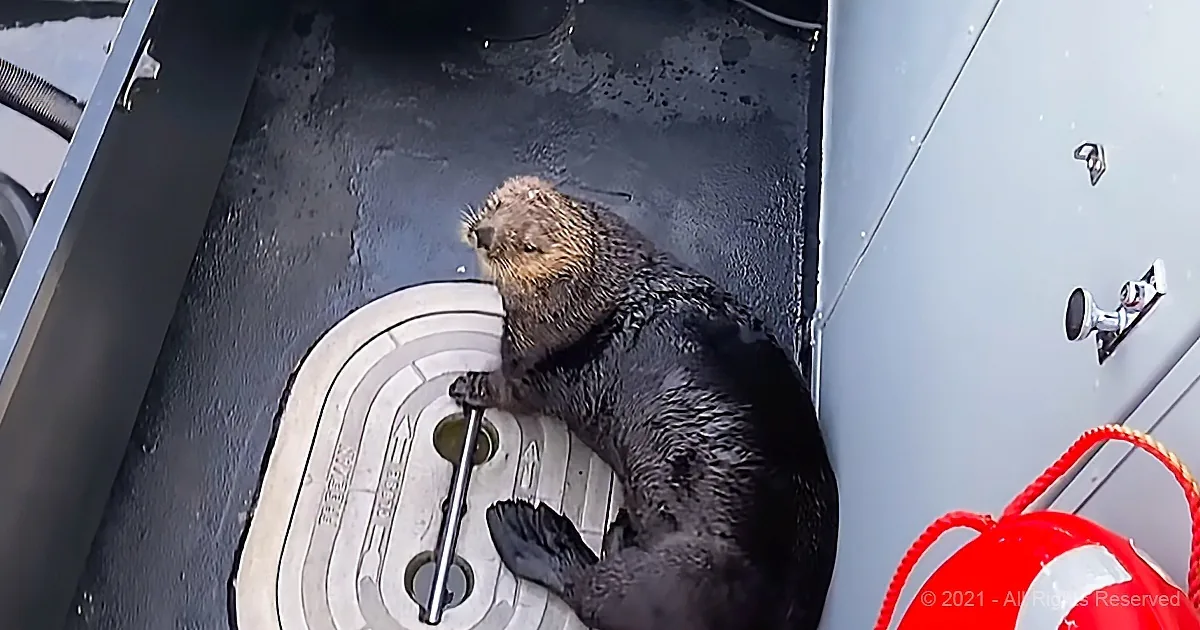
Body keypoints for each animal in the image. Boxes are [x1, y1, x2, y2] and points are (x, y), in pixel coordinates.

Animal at [448, 176, 838, 630]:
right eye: (498, 203)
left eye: (529, 246)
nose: (484, 233)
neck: (599, 297)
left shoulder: (535, 364)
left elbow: (507, 390)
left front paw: (467, 384)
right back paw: (620, 527)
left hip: (674, 581)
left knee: (590, 592)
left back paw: (530, 531)